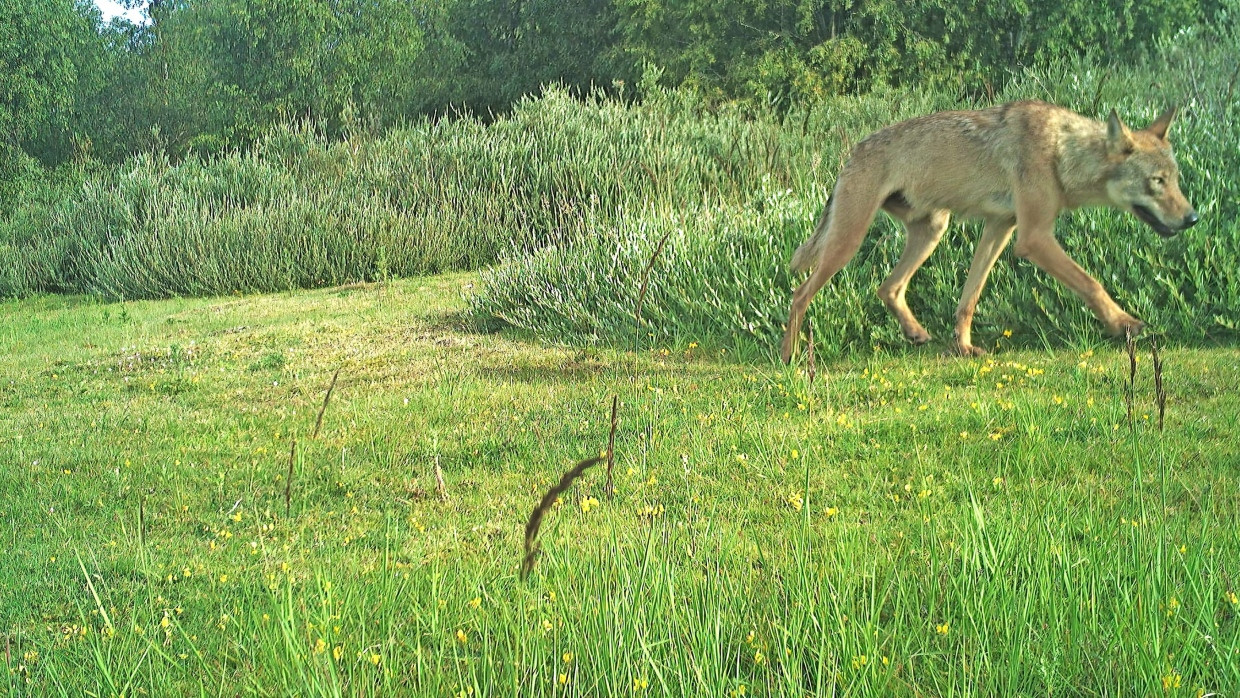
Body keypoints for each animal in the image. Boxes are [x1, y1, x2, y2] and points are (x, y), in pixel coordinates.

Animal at [778, 101, 1195, 364]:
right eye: (1156, 181)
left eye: (1175, 179)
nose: (1192, 219)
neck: (1061, 152)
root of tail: (852, 152)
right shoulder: (1034, 238)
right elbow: (1091, 283)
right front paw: (1125, 324)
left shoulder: (1000, 227)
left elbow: (969, 298)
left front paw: (963, 348)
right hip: (847, 243)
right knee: (799, 295)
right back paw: (789, 358)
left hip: (933, 230)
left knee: (888, 287)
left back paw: (916, 333)